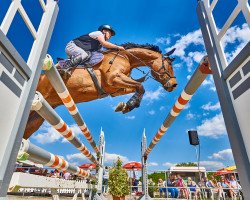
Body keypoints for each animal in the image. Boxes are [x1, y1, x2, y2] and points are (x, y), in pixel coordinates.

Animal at [23, 42, 176, 139]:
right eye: (169, 64)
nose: (174, 84)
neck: (126, 57)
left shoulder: (115, 89)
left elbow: (137, 88)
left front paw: (124, 105)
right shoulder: (114, 78)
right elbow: (140, 87)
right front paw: (129, 106)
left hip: (38, 116)